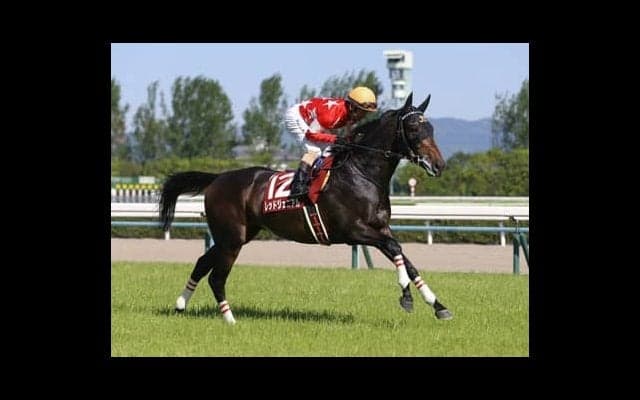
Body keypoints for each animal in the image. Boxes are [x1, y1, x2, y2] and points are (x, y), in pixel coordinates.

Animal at [160, 92, 452, 324]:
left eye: (431, 129)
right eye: (413, 129)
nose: (439, 165)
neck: (361, 173)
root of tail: (217, 178)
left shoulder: (380, 228)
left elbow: (404, 257)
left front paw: (437, 305)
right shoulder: (353, 231)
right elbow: (395, 249)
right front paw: (406, 295)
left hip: (234, 236)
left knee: (202, 264)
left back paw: (180, 305)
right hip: (231, 238)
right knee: (217, 278)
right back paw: (230, 319)